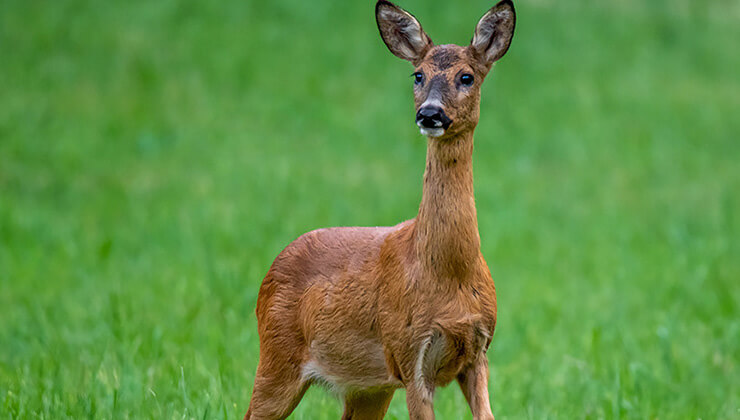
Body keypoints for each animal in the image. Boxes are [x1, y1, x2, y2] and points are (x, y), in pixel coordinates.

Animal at [246, 1, 516, 418]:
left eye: (467, 76)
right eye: (418, 75)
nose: (430, 113)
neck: (450, 272)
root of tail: (271, 269)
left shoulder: (478, 350)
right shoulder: (408, 352)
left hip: (368, 386)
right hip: (277, 354)